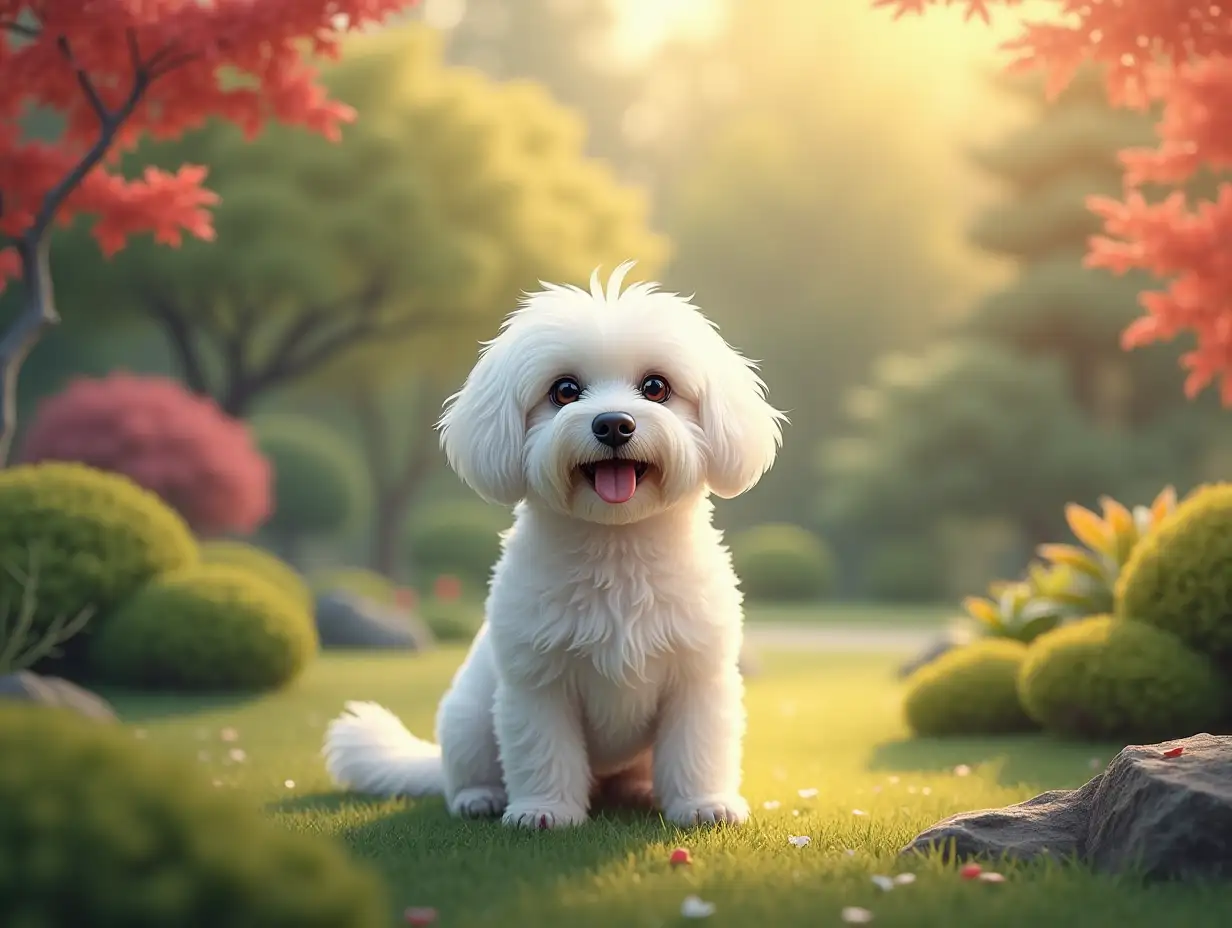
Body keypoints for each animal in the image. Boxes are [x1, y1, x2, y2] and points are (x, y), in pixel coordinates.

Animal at [322, 263, 783, 828]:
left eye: (656, 387)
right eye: (564, 390)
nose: (614, 424)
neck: (616, 545)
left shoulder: (698, 674)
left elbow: (697, 747)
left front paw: (703, 803)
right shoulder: (536, 680)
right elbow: (542, 749)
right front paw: (544, 810)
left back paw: (638, 790)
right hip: (467, 719)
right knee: (466, 771)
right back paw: (478, 797)